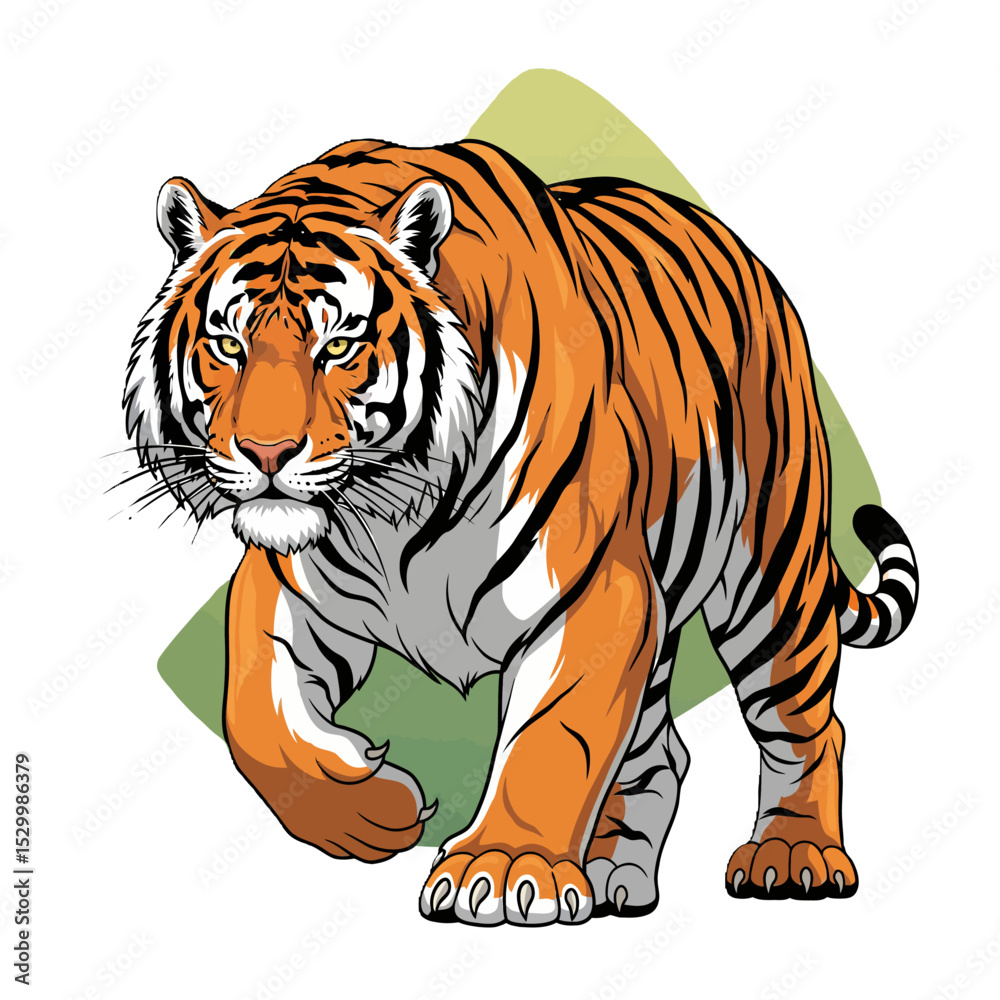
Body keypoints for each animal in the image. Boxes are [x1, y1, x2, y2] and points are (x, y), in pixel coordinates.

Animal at [124, 137, 918, 926]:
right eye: (227, 344)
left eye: (340, 346)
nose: (266, 453)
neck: (391, 513)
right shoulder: (287, 587)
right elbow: (256, 718)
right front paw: (375, 810)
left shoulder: (594, 591)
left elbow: (553, 736)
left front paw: (504, 867)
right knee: (660, 754)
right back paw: (613, 873)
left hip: (770, 577)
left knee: (805, 727)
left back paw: (794, 857)